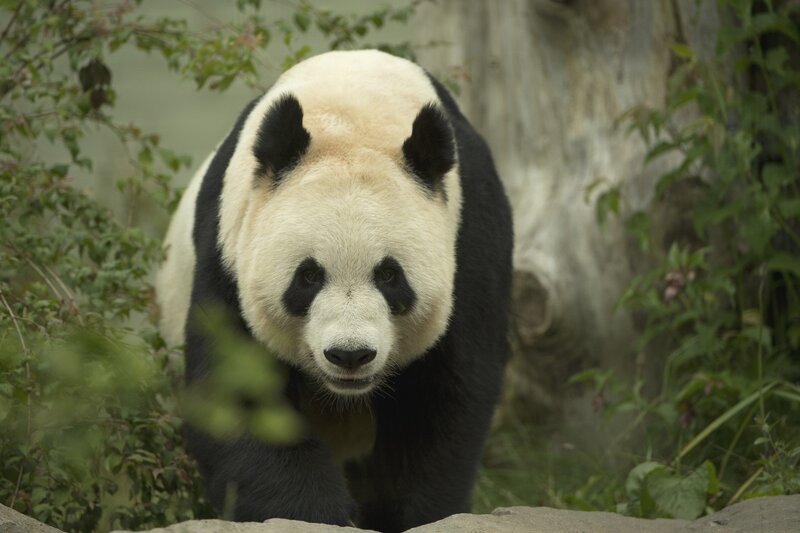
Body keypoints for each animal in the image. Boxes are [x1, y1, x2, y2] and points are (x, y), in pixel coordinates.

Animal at [156, 49, 512, 532]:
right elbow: (240, 400)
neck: (351, 117)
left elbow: (440, 405)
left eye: (389, 276)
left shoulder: (469, 236)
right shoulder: (229, 248)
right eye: (308, 277)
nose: (350, 355)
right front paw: (319, 516)